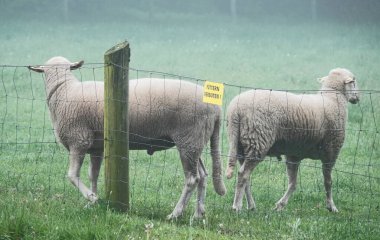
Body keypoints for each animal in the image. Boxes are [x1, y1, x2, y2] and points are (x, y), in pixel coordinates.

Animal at [29, 56, 227, 219]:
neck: (64, 91)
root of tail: (216, 109)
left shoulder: (79, 140)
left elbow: (72, 175)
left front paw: (91, 198)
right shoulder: (96, 146)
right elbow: (93, 175)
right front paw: (92, 202)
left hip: (188, 140)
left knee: (192, 179)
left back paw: (175, 214)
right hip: (194, 141)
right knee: (203, 175)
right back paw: (198, 214)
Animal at [226, 67, 360, 212]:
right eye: (353, 82)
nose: (357, 98)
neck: (333, 99)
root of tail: (235, 111)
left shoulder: (294, 155)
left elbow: (293, 183)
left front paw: (280, 205)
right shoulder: (331, 151)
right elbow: (328, 182)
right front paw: (331, 206)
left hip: (242, 145)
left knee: (246, 176)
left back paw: (251, 205)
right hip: (258, 141)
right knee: (243, 174)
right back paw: (237, 206)